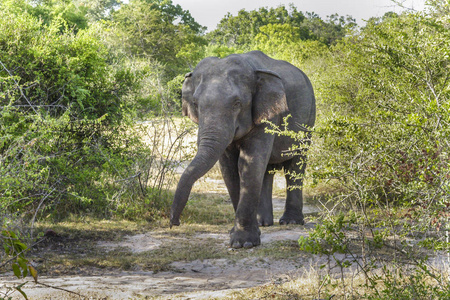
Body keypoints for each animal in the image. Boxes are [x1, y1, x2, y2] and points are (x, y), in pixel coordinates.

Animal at [170, 51, 316, 248]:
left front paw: (243, 243)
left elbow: (250, 162)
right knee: (267, 170)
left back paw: (290, 222)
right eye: (195, 103)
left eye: (237, 103)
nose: (175, 222)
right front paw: (244, 235)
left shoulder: (268, 114)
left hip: (310, 117)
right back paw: (264, 223)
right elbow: (229, 168)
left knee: (295, 164)